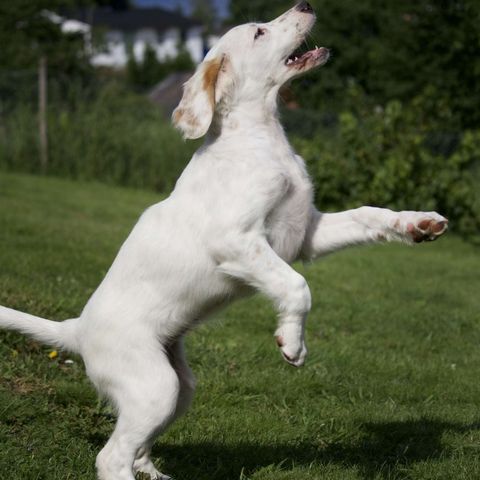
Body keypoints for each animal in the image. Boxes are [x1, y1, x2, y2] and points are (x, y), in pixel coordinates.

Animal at [0, 1, 450, 478]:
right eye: (258, 32)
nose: (306, 4)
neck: (261, 138)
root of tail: (78, 329)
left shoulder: (305, 232)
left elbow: (368, 214)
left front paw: (419, 223)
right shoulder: (237, 240)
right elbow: (296, 285)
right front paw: (292, 342)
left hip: (180, 386)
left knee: (137, 443)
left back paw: (153, 471)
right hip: (154, 385)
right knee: (110, 455)